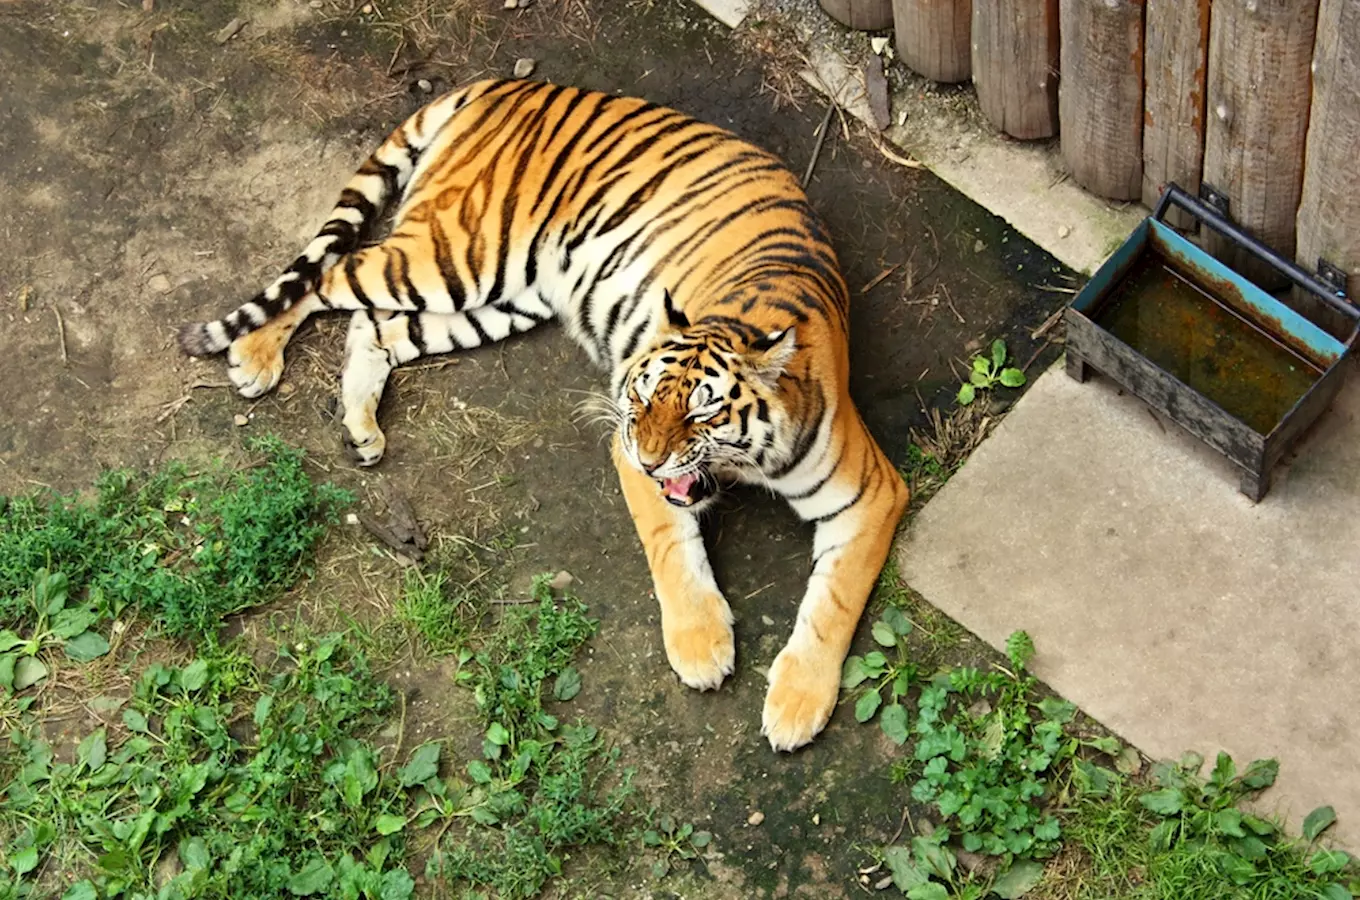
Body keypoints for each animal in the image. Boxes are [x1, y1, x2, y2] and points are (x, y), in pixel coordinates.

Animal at [178, 78, 909, 751]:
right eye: (643, 399)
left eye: (703, 415)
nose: (653, 460)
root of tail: (503, 81)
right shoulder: (626, 445)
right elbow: (672, 547)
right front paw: (702, 648)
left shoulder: (871, 492)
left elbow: (834, 603)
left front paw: (795, 706)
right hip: (455, 255)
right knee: (326, 277)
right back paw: (253, 356)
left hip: (500, 298)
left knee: (373, 322)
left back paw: (361, 428)